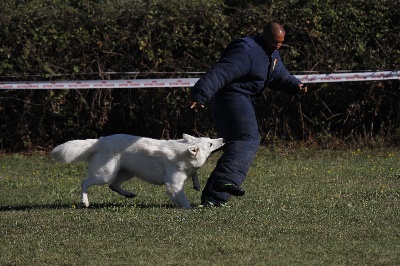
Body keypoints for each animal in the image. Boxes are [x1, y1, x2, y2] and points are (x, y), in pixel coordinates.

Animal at [51, 134, 223, 209]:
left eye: (210, 139)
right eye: (210, 143)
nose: (222, 138)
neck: (182, 153)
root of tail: (100, 141)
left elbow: (194, 173)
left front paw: (196, 184)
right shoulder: (173, 185)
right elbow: (183, 199)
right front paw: (190, 209)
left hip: (126, 173)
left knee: (113, 186)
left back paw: (128, 194)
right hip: (105, 174)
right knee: (84, 182)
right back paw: (85, 202)